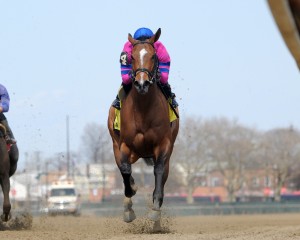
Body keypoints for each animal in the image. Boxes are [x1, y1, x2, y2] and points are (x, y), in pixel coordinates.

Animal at [107, 28, 178, 223]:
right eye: (131, 56)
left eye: (153, 56)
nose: (141, 83)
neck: (143, 110)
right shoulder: (124, 145)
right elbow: (125, 170)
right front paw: (129, 203)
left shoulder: (163, 144)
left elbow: (159, 170)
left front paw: (155, 210)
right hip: (119, 146)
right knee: (124, 169)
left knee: (162, 173)